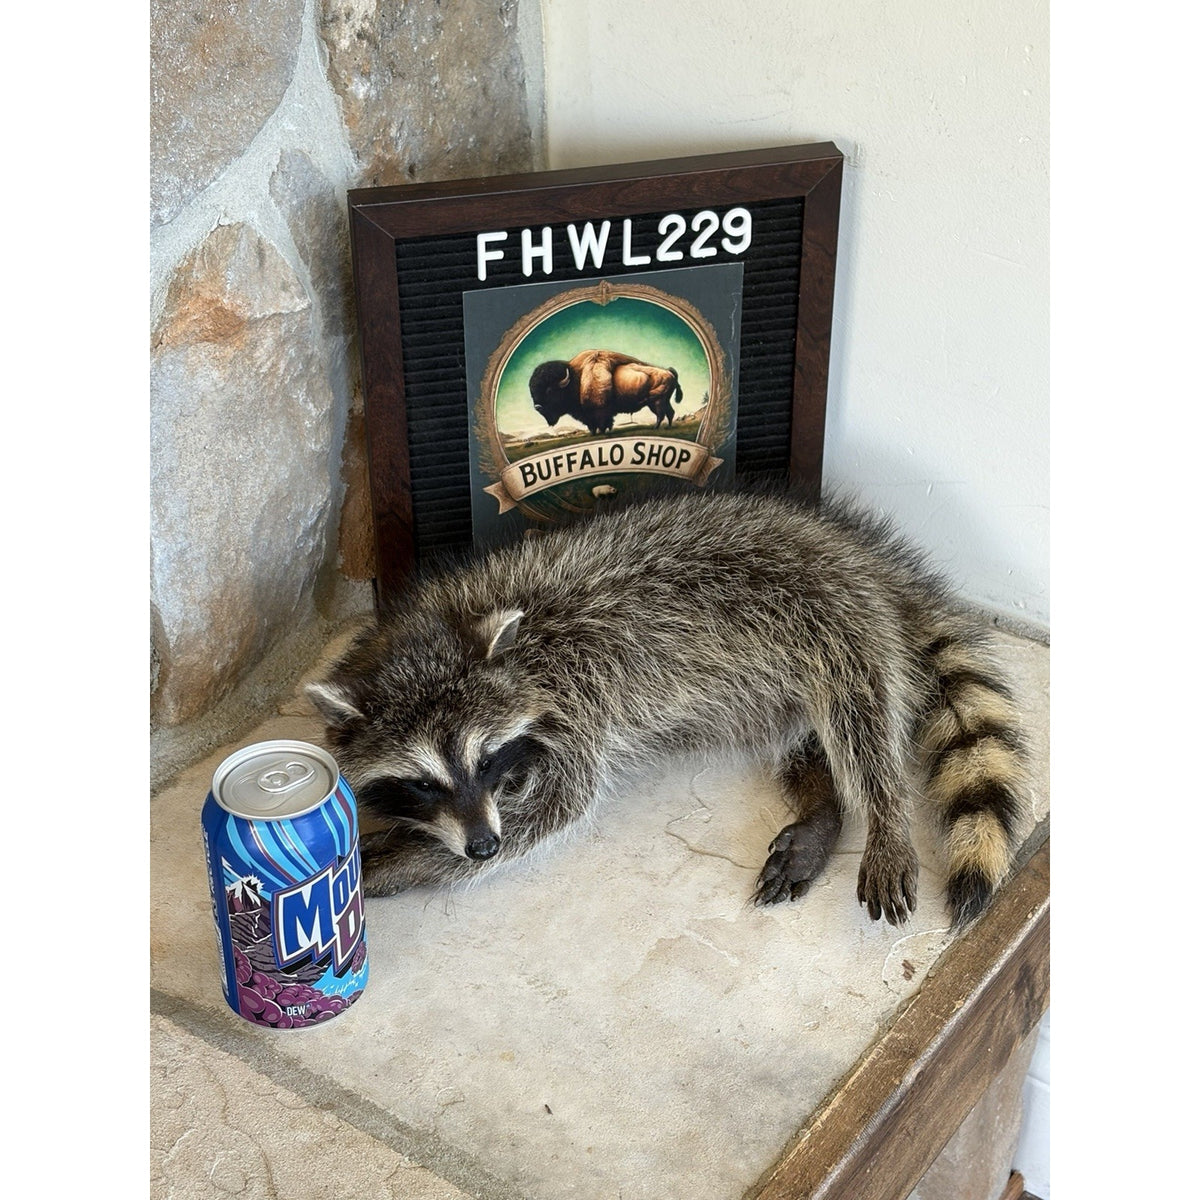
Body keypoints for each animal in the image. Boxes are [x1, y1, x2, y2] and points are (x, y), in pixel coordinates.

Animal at [307, 488, 1029, 927]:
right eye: (424, 782)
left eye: (485, 760)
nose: (481, 845)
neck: (444, 630)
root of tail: (866, 557)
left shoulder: (575, 706)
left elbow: (553, 810)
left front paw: (406, 861)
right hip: (780, 684)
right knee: (805, 738)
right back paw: (825, 805)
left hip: (833, 611)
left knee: (862, 712)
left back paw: (881, 811)